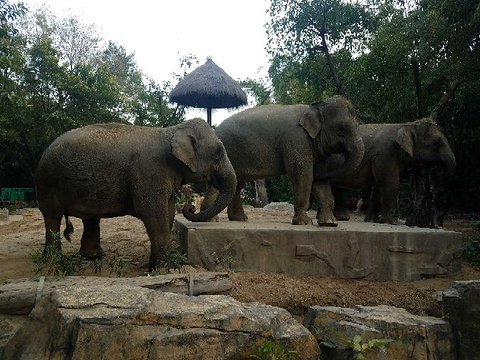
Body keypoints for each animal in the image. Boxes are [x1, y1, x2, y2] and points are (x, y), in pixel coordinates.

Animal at [34, 118, 237, 270]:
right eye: (218, 152)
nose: (191, 205)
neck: (171, 131)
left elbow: (169, 211)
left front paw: (156, 266)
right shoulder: (149, 172)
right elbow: (152, 212)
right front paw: (165, 268)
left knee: (90, 219)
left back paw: (93, 257)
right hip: (47, 182)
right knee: (52, 217)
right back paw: (53, 261)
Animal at [202, 95, 364, 225]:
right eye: (341, 129)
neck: (313, 107)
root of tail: (214, 131)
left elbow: (319, 180)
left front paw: (329, 223)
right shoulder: (296, 140)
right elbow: (302, 174)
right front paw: (304, 223)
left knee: (237, 182)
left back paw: (239, 219)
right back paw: (210, 220)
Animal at [314, 118, 456, 224]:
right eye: (436, 143)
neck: (405, 125)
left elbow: (379, 185)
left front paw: (372, 220)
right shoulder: (385, 154)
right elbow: (390, 182)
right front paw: (392, 222)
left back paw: (339, 218)